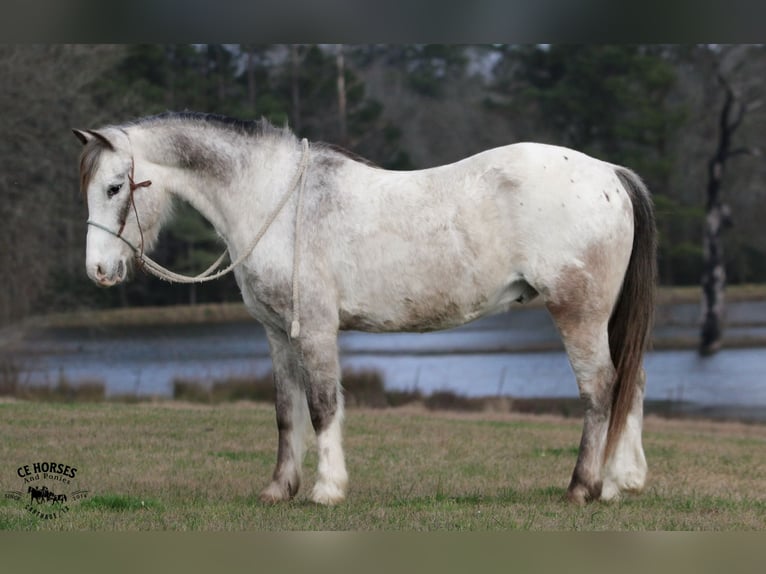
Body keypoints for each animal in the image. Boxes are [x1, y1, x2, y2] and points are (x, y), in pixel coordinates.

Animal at [73, 110, 660, 506]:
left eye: (115, 186)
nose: (99, 270)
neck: (278, 201)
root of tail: (610, 173)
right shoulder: (277, 334)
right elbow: (286, 412)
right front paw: (279, 489)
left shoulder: (314, 330)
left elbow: (322, 406)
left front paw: (327, 490)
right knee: (632, 382)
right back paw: (623, 482)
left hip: (577, 314)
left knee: (600, 390)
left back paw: (583, 487)